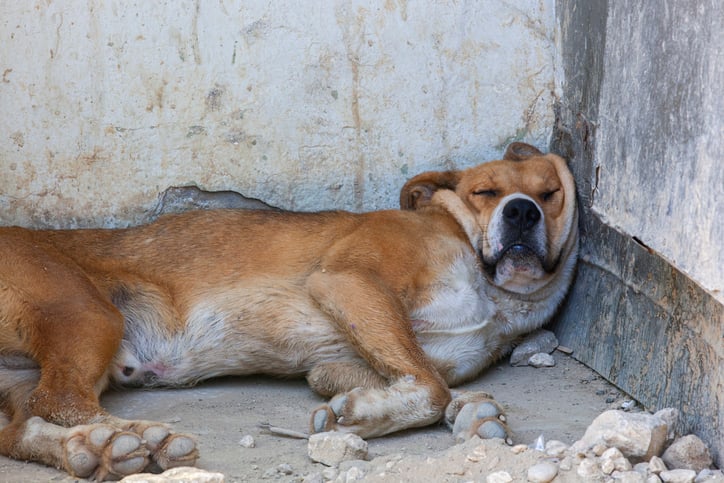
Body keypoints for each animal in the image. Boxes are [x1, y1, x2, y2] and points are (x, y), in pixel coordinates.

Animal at [0, 142, 576, 478]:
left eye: (550, 193)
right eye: (485, 191)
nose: (521, 212)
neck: (494, 291)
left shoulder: (337, 363)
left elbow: (425, 378)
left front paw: (467, 414)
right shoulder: (348, 280)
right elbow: (430, 388)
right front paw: (368, 416)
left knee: (23, 427)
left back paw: (97, 449)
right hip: (84, 311)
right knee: (60, 401)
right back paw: (132, 438)